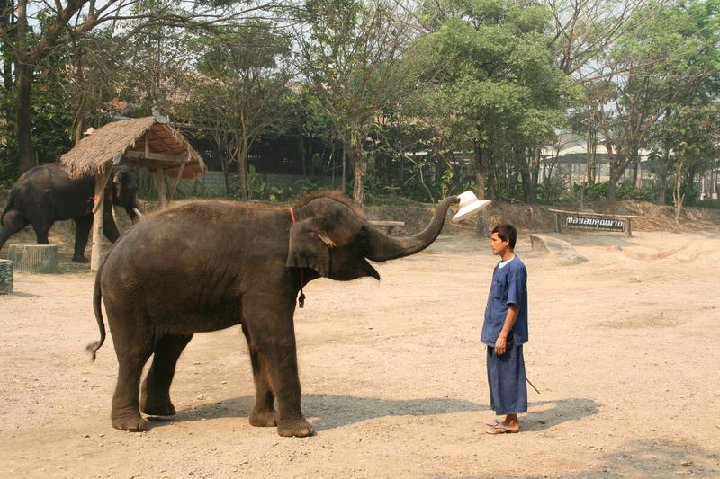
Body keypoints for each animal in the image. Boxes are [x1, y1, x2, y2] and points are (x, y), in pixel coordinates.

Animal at [0, 164, 143, 262]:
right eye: (134, 189)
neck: (114, 168)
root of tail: (15, 187)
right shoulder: (102, 191)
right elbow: (105, 220)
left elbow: (84, 223)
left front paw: (81, 260)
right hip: (37, 202)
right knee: (42, 227)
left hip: (24, 204)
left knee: (12, 224)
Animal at [88, 192, 462, 438]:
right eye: (361, 234)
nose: (457, 199)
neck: (293, 215)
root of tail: (109, 254)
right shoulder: (267, 275)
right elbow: (276, 337)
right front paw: (300, 432)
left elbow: (257, 342)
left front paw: (265, 423)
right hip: (127, 293)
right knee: (136, 349)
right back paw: (132, 425)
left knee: (172, 344)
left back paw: (161, 412)